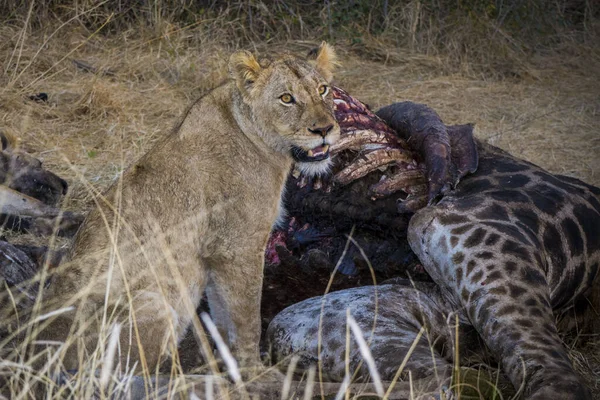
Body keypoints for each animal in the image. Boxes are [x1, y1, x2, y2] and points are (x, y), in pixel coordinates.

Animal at [35, 43, 340, 378]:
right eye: (286, 98)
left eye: (323, 90)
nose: (325, 129)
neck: (264, 145)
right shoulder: (239, 246)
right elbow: (246, 315)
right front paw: (255, 370)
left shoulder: (217, 253)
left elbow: (224, 315)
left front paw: (229, 362)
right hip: (158, 300)